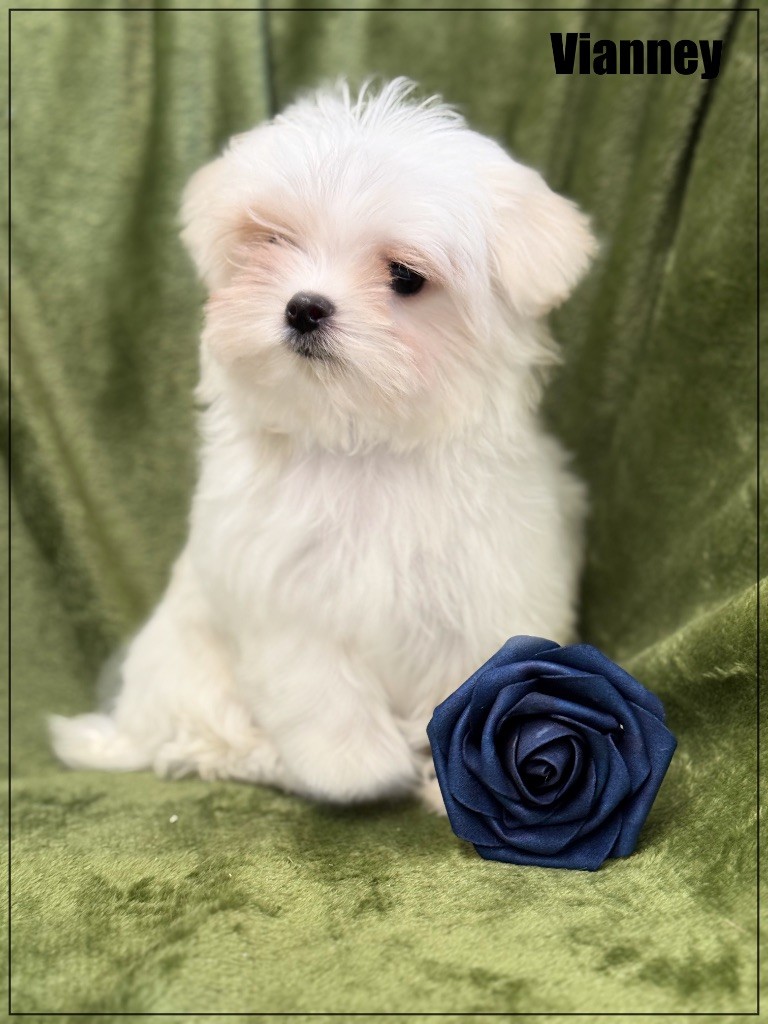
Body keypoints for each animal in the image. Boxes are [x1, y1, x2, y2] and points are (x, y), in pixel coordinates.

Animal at [50, 79, 596, 811]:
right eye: (273, 240)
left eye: (405, 276)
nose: (304, 306)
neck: (359, 441)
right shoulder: (285, 597)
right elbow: (319, 689)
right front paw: (356, 771)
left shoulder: (488, 583)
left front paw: (449, 785)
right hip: (190, 676)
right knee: (203, 738)